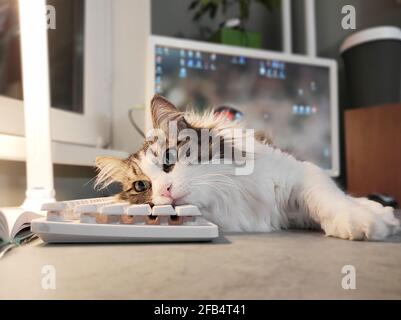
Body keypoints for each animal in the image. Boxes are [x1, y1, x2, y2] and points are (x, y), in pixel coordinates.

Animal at [95, 94, 398, 240]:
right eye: (141, 186)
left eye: (169, 160)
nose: (165, 191)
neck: (231, 197)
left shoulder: (301, 174)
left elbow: (329, 199)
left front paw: (357, 222)